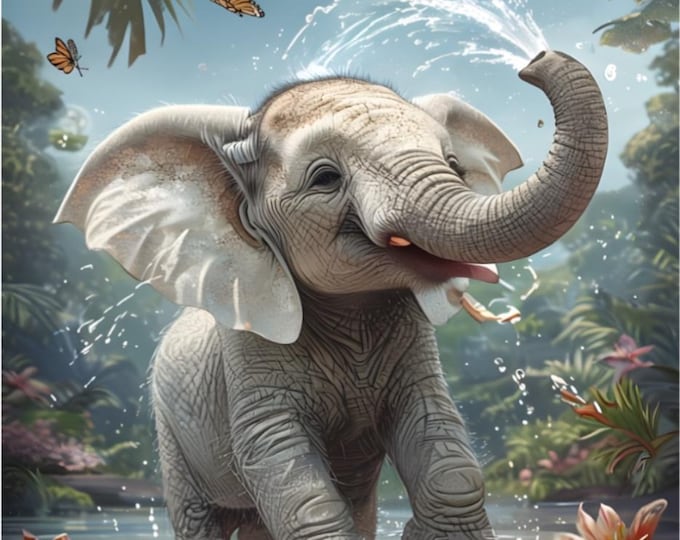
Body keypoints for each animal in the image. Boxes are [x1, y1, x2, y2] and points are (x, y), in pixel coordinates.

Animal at [55, 50, 607, 539]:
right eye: (325, 178)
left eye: (453, 164)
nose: (534, 61)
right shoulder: (249, 351)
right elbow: (281, 462)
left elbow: (439, 444)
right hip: (170, 432)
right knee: (198, 517)